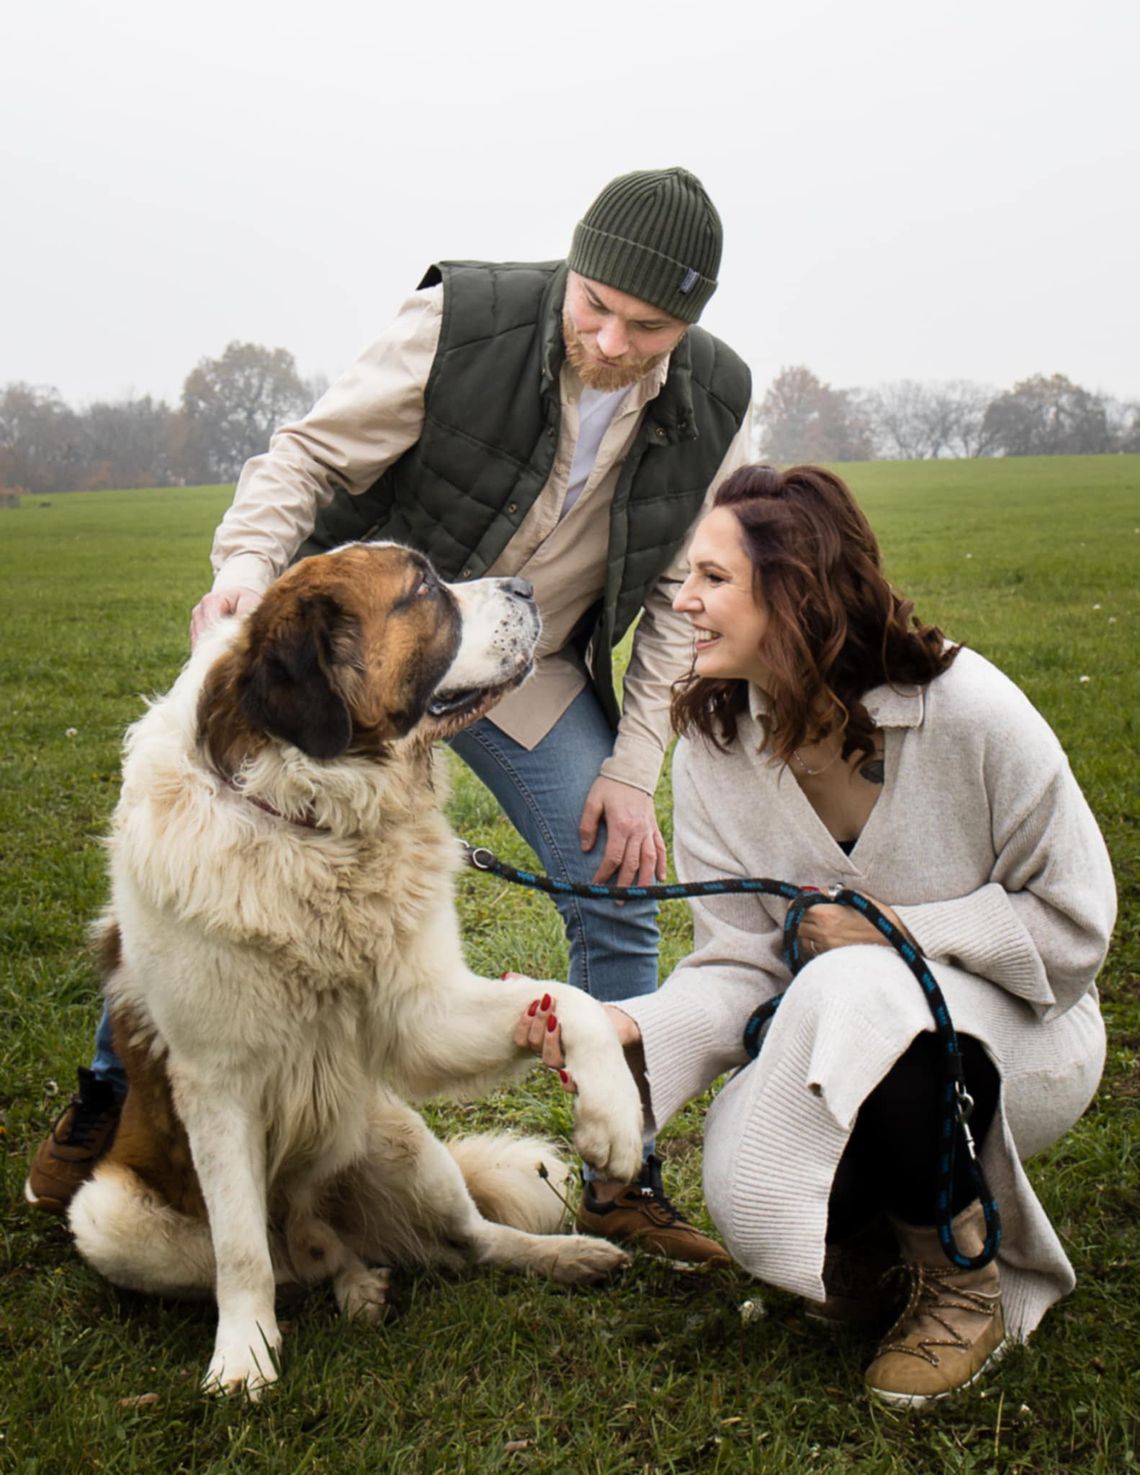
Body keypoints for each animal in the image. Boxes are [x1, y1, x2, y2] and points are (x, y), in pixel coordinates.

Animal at [66, 542, 645, 1392]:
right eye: (423, 590)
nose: (527, 586)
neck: (311, 827)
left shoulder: (422, 1015)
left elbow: (567, 997)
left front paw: (614, 1122)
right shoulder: (216, 1082)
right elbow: (240, 1249)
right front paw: (242, 1357)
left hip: (403, 1142)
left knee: (471, 1238)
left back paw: (562, 1256)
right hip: (106, 1213)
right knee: (287, 1261)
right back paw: (349, 1282)